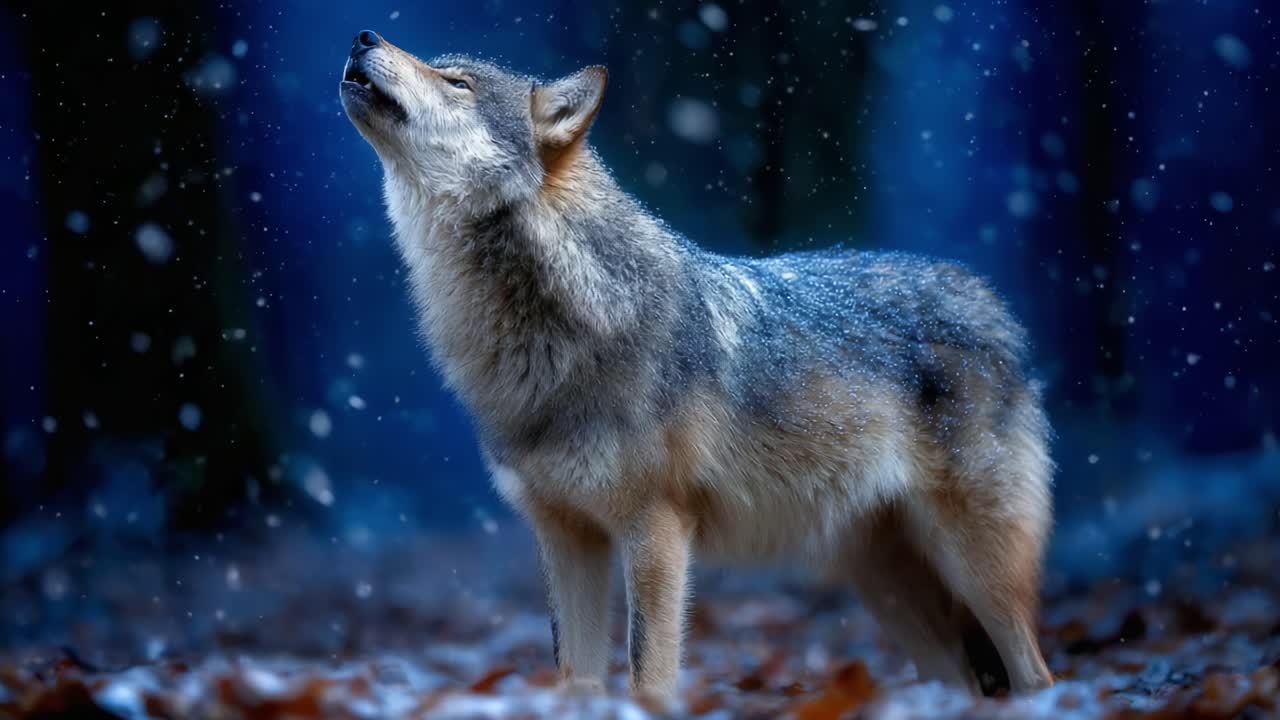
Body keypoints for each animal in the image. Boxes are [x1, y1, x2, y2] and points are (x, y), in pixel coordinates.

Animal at [339, 29, 1054, 704]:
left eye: (457, 82)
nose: (363, 36)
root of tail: (994, 305)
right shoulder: (566, 536)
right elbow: (574, 677)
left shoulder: (656, 529)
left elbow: (647, 676)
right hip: (886, 586)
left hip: (977, 568)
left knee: (1037, 675)